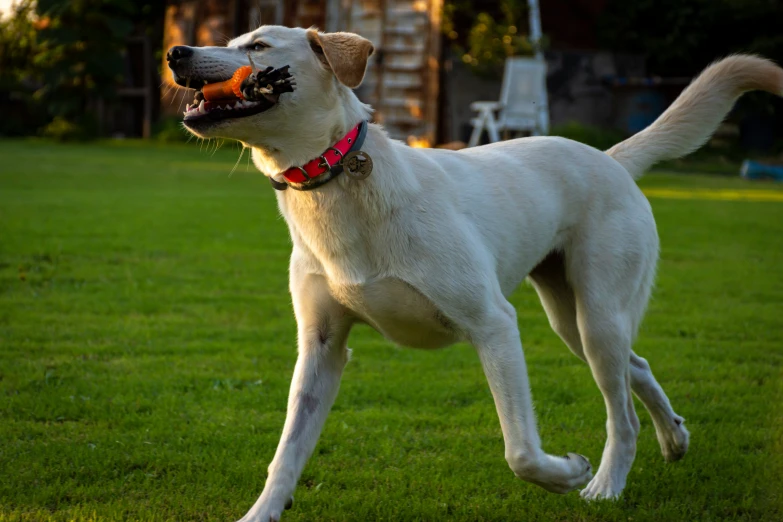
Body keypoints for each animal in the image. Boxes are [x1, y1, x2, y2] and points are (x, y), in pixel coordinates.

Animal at [167, 25, 783, 520]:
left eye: (258, 46)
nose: (175, 51)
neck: (338, 182)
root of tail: (610, 158)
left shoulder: (494, 325)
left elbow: (521, 451)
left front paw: (567, 473)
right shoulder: (321, 348)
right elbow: (287, 453)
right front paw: (262, 512)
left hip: (597, 318)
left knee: (621, 413)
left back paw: (607, 485)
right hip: (571, 321)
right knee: (640, 366)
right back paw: (673, 438)